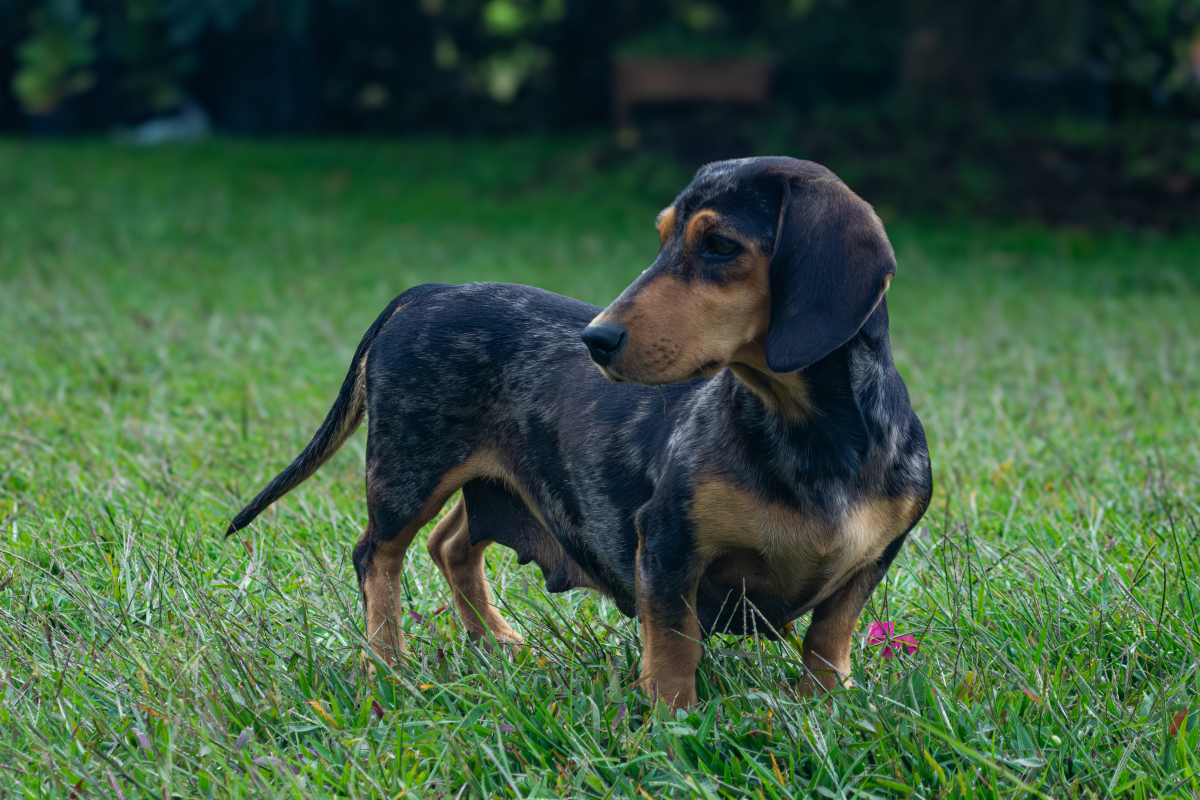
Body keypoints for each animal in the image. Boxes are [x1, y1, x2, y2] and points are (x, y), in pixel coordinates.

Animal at [226, 159, 936, 710]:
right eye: (662, 238)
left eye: (721, 246)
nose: (595, 339)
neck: (808, 431)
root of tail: (430, 291)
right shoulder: (668, 545)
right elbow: (674, 647)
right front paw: (674, 725)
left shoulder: (872, 559)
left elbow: (828, 639)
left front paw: (822, 705)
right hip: (408, 472)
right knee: (378, 555)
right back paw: (388, 665)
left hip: (494, 481)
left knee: (449, 545)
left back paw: (497, 639)